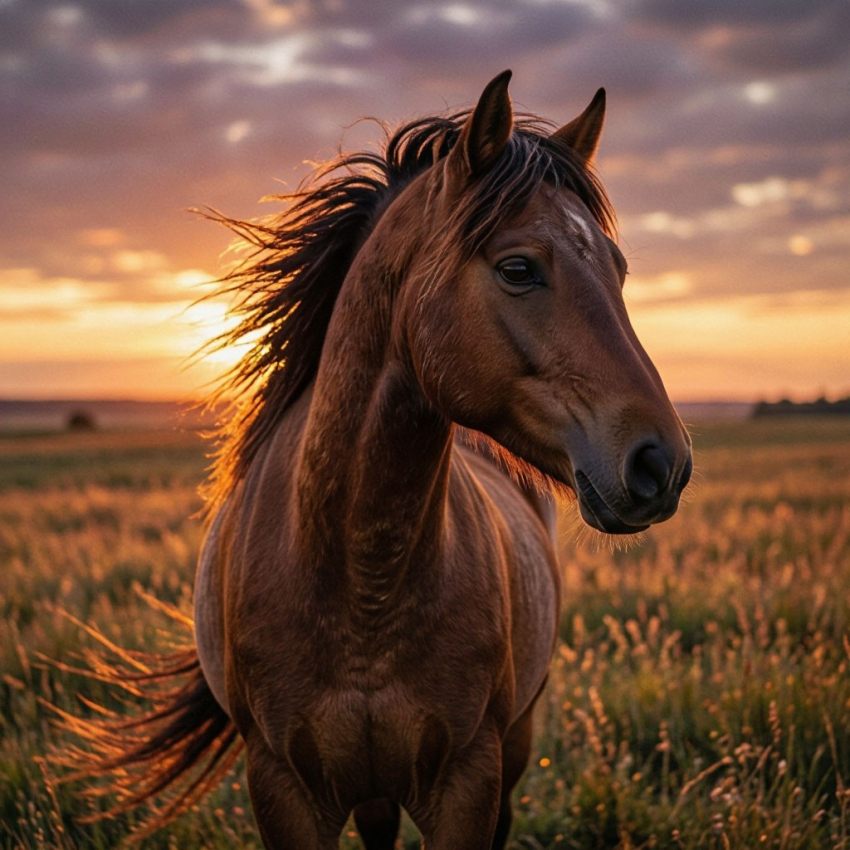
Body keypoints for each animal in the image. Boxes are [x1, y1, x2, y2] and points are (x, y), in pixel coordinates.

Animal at [60, 71, 692, 849]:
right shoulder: (283, 788)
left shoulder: (469, 782)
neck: (359, 584)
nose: (661, 463)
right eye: (518, 268)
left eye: (619, 270)